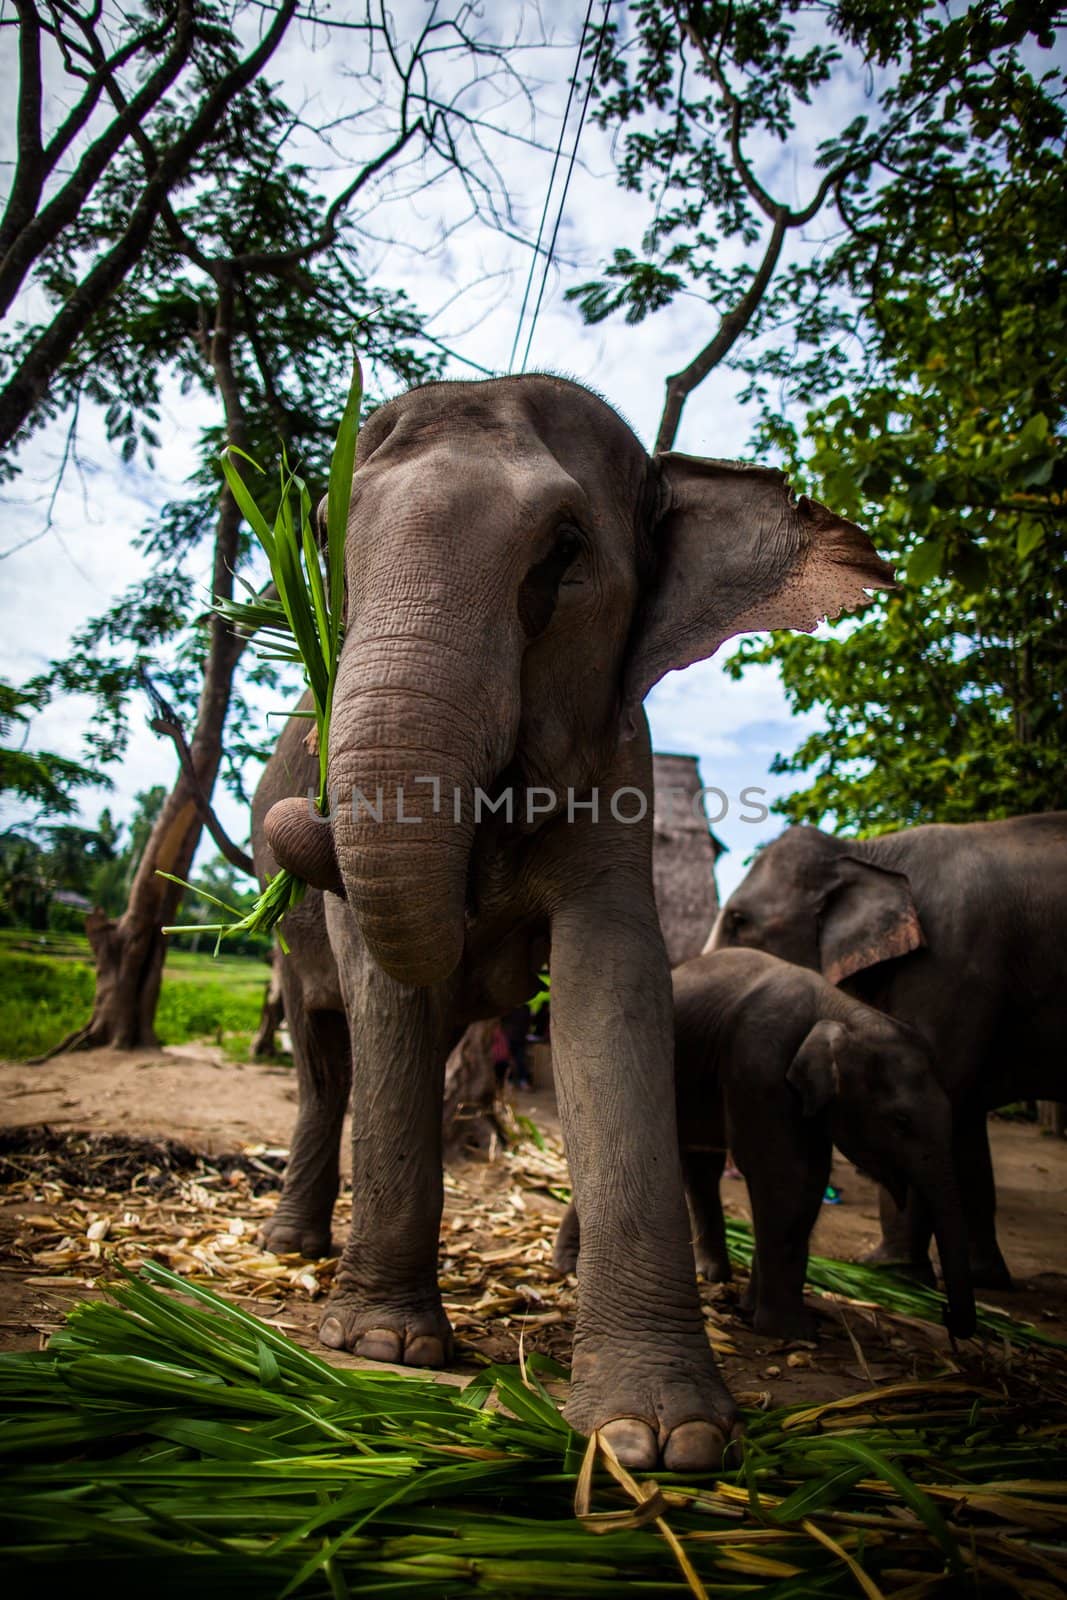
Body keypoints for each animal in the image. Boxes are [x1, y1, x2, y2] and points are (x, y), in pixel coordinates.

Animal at [252, 374, 895, 1472]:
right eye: (328, 538)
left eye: (563, 551)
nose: (305, 801)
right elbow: (386, 993)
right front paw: (381, 1345)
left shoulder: (619, 762)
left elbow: (609, 990)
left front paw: (660, 1439)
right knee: (327, 1061)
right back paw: (292, 1248)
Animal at [556, 940, 979, 1344]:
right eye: (900, 1121)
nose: (947, 1318)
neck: (841, 1009)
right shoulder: (760, 1065)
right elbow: (785, 1175)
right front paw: (793, 1332)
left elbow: (808, 1178)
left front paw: (751, 1309)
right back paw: (568, 1266)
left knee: (700, 1166)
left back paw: (713, 1275)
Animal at [710, 812, 1067, 1286]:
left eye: (738, 919)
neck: (867, 852)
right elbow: (960, 1116)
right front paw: (978, 1278)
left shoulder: (952, 964)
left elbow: (938, 1099)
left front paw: (888, 1272)